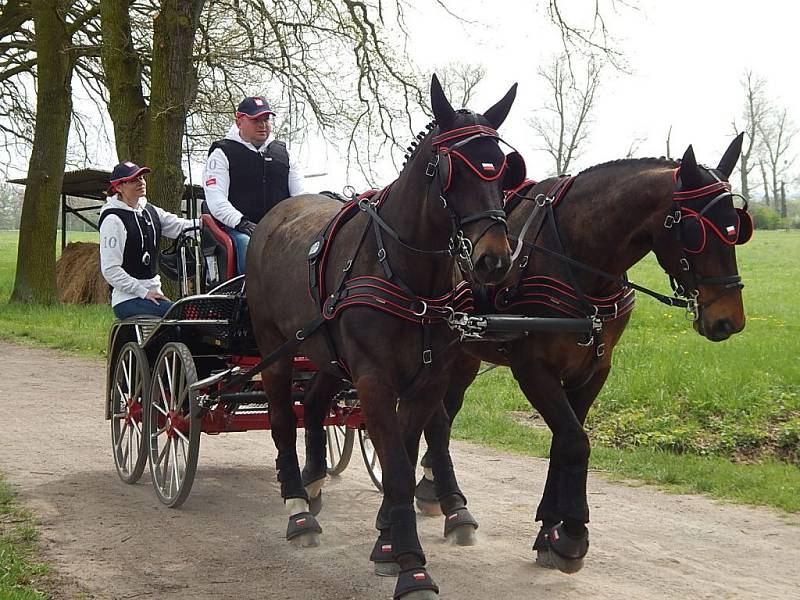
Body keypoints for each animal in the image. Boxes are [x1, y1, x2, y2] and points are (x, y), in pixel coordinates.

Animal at [247, 76, 528, 600]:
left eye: (501, 169)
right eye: (449, 170)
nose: (494, 259)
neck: (408, 275)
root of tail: (277, 215)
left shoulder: (428, 380)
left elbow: (408, 450)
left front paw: (387, 540)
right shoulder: (375, 382)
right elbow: (395, 466)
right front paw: (411, 565)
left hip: (326, 355)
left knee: (312, 404)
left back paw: (313, 484)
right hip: (275, 347)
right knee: (281, 419)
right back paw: (297, 505)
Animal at [412, 135, 752, 572]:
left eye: (738, 229)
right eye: (695, 231)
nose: (729, 320)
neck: (574, 255)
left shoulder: (593, 368)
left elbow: (564, 442)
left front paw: (548, 531)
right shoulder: (533, 369)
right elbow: (575, 441)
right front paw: (572, 534)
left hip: (465, 357)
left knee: (444, 416)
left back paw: (432, 489)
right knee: (437, 422)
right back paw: (455, 507)